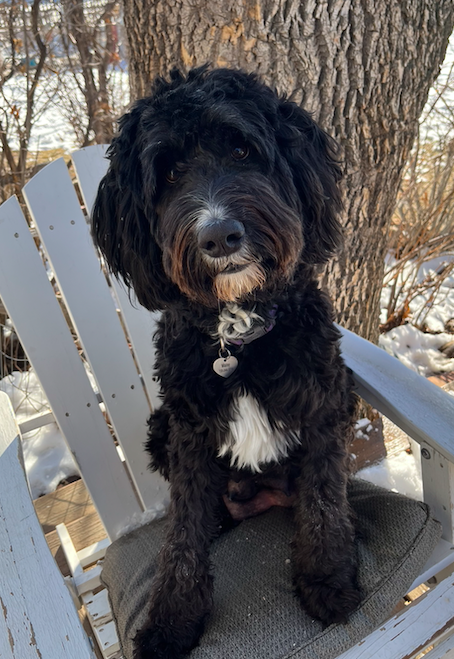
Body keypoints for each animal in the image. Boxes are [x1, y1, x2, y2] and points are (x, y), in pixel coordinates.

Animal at [93, 67, 362, 659]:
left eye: (242, 148)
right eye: (169, 172)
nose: (219, 236)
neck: (237, 336)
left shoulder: (324, 406)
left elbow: (324, 500)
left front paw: (327, 579)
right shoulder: (190, 433)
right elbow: (183, 537)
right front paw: (171, 622)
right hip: (160, 427)